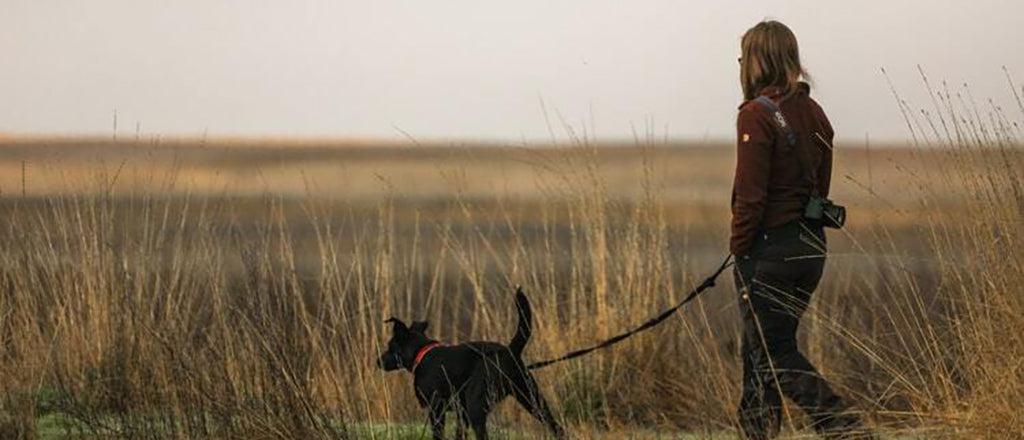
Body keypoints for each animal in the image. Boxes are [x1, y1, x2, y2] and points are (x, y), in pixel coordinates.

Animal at [378, 286, 565, 437]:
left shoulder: (437, 408)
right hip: (532, 398)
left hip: (477, 405)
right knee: (557, 428)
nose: (378, 361)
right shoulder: (462, 414)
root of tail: (510, 351)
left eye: (390, 345)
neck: (421, 354)